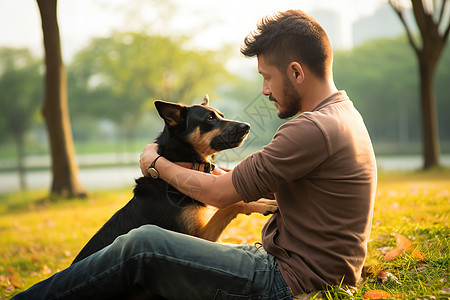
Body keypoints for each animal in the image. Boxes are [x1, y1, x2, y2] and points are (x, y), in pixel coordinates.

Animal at [72, 95, 276, 264]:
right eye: (210, 118)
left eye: (221, 115)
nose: (246, 127)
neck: (185, 164)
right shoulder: (197, 238)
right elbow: (230, 205)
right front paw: (264, 203)